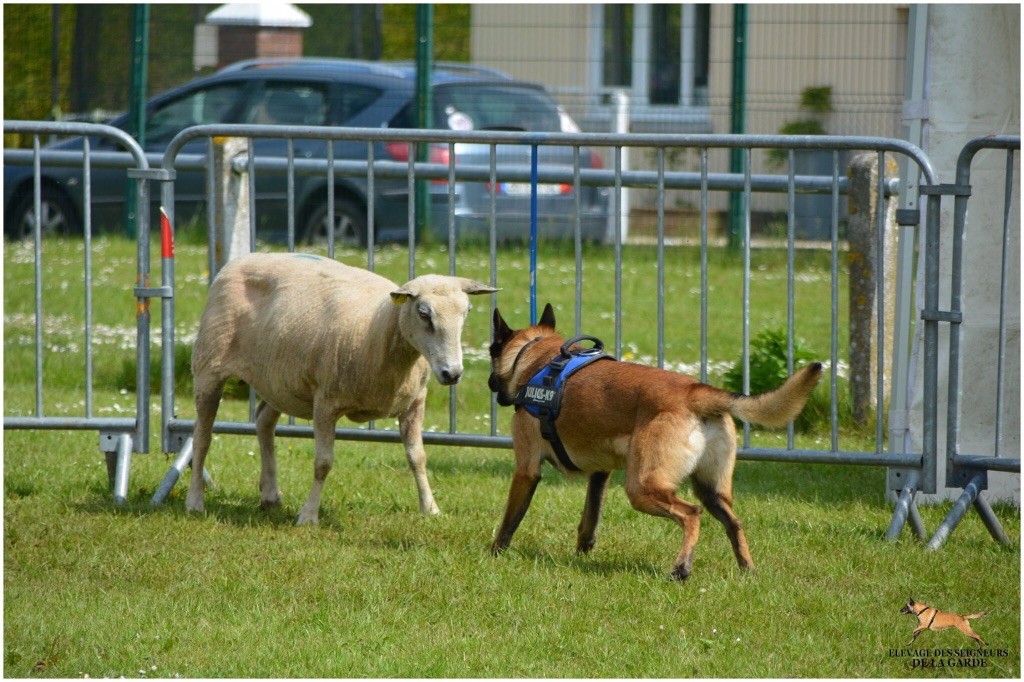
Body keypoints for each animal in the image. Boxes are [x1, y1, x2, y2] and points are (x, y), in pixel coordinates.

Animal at [185, 252, 497, 525]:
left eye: (467, 312)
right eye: (424, 314)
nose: (452, 373)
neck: (379, 329)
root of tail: (242, 258)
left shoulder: (414, 403)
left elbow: (418, 458)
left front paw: (430, 508)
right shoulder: (325, 402)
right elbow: (323, 463)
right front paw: (308, 516)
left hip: (279, 380)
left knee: (263, 423)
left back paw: (270, 495)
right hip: (209, 367)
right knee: (202, 436)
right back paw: (195, 501)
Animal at [488, 303, 822, 580]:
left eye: (491, 352)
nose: (490, 384)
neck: (537, 358)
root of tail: (694, 392)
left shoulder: (527, 470)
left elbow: (509, 520)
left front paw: (494, 553)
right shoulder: (601, 475)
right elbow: (589, 520)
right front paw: (581, 554)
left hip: (642, 487)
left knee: (691, 515)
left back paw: (681, 569)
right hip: (711, 489)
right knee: (733, 522)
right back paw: (747, 570)